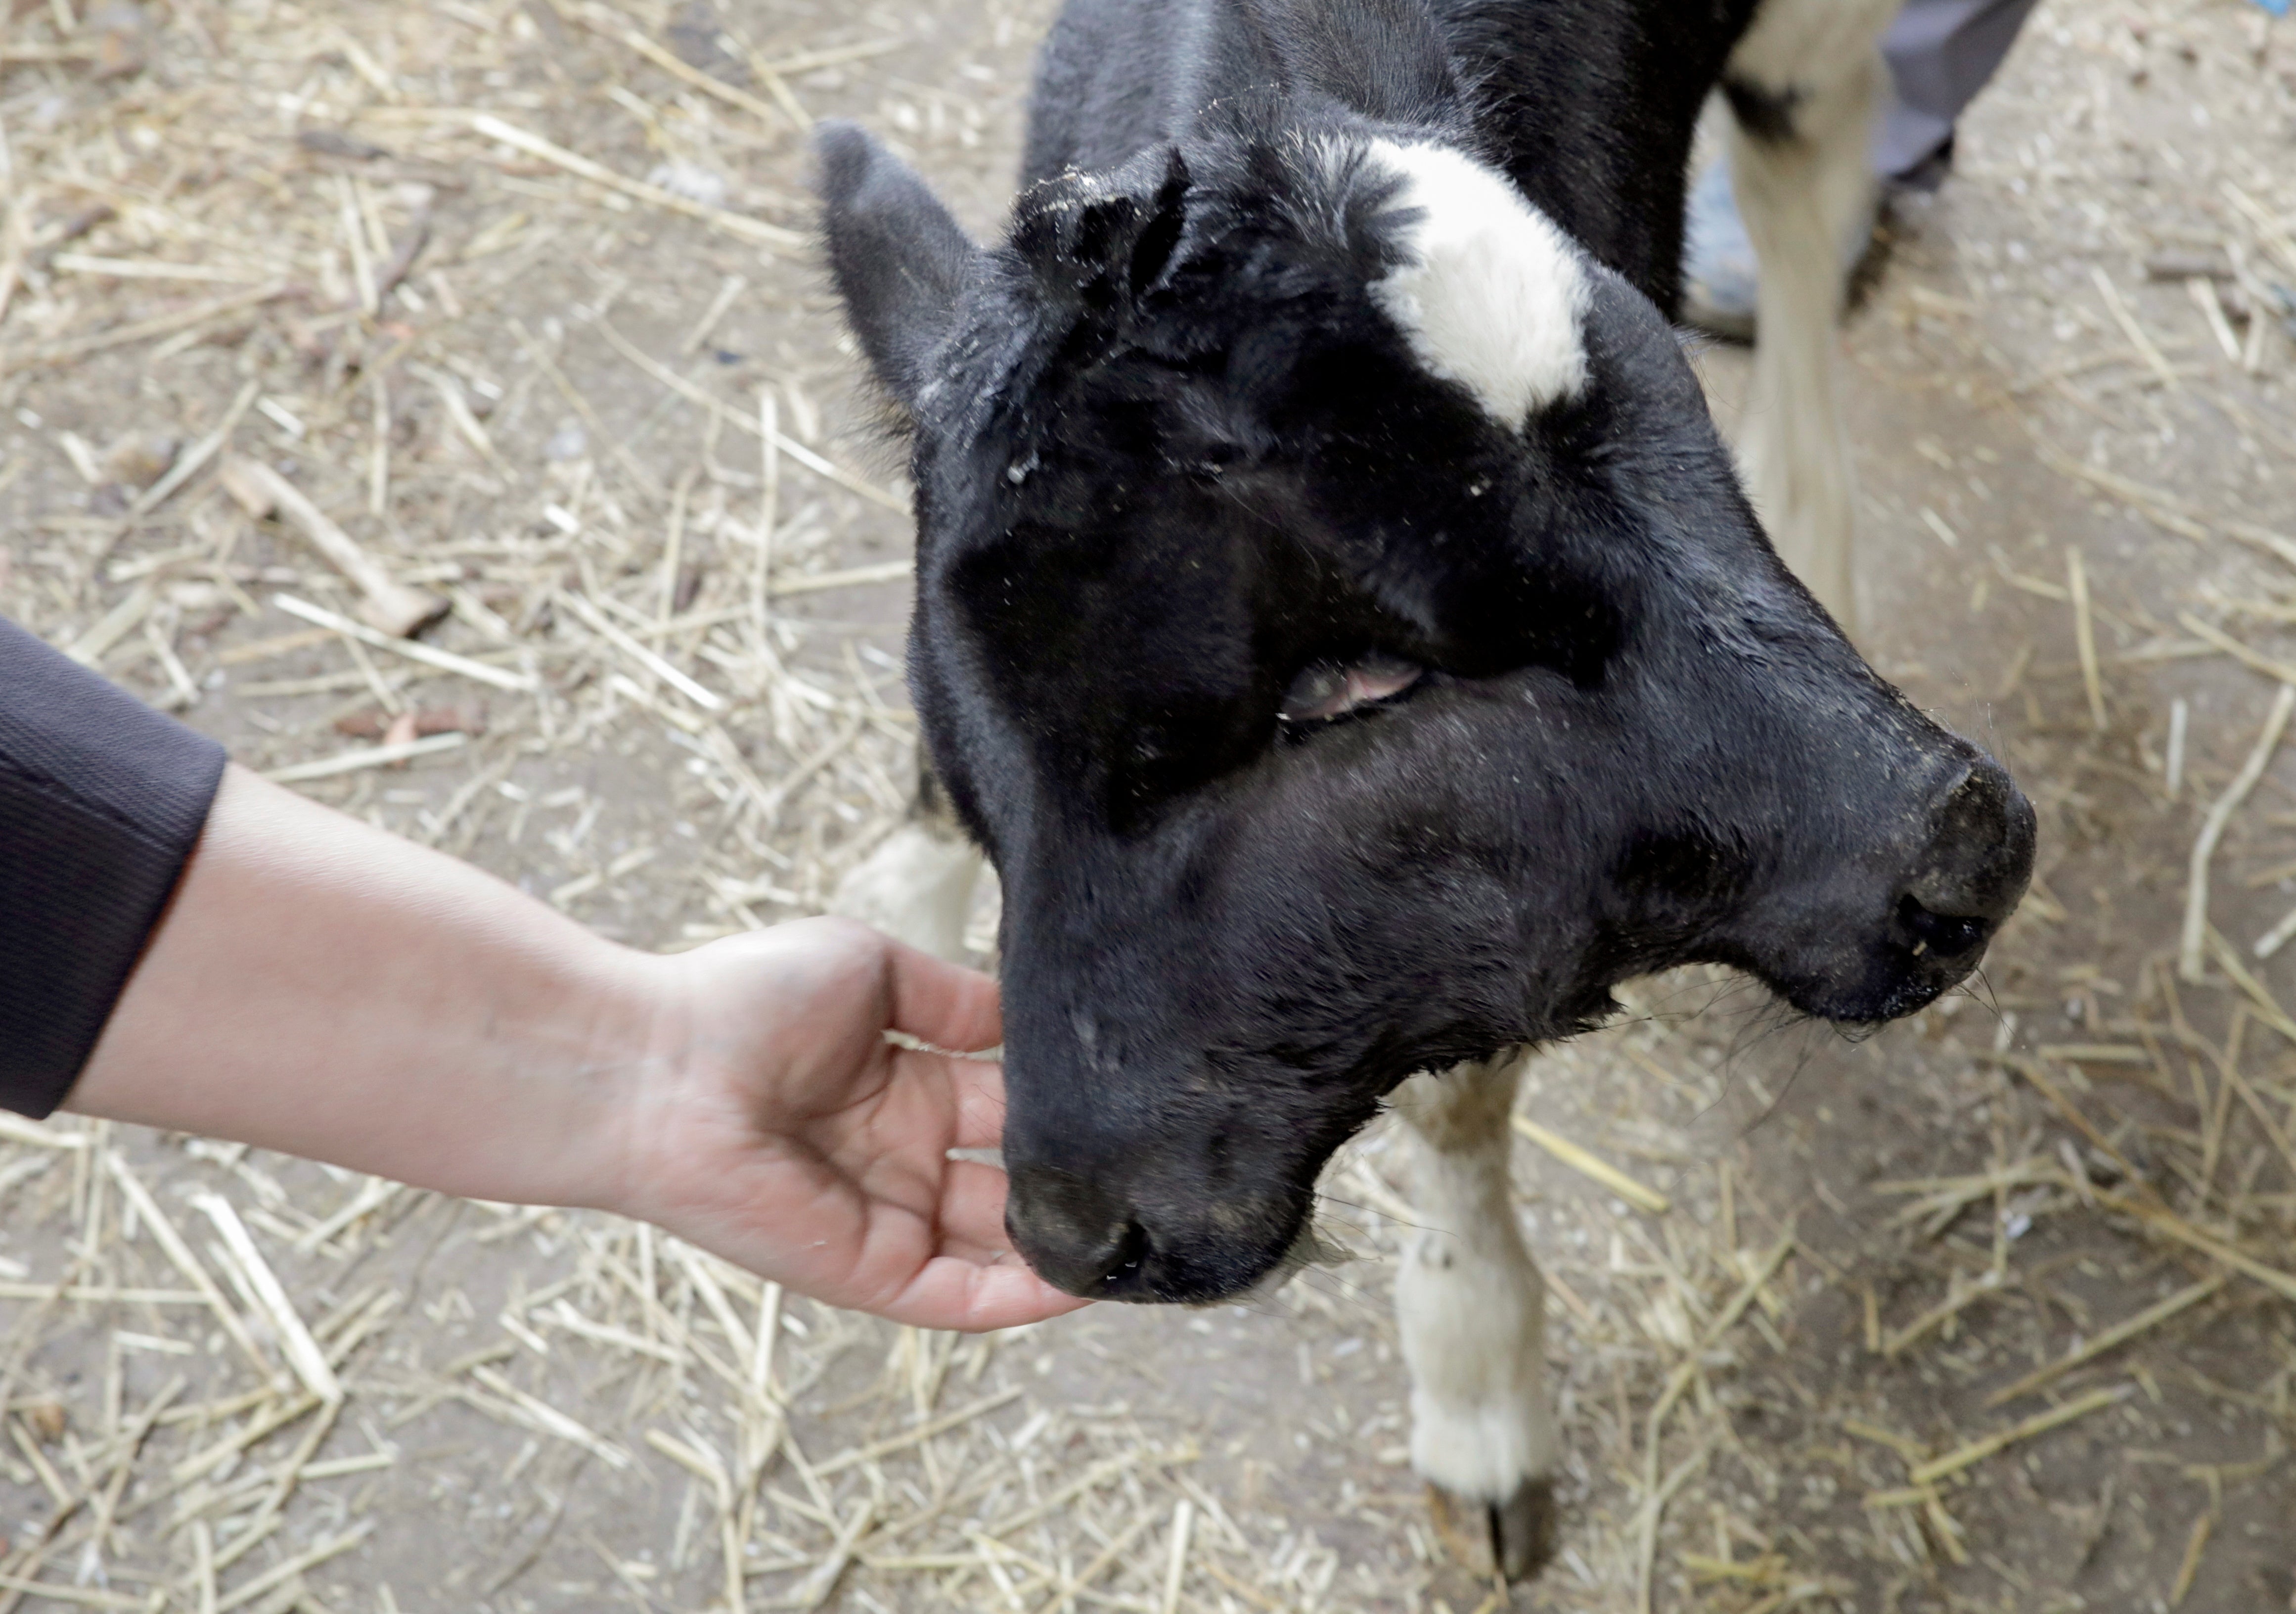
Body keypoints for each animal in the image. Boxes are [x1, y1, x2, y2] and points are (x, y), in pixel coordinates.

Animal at [812, 0, 2029, 1579]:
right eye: (1346, 676)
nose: (1968, 839)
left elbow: (1458, 1103)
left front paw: (1476, 1381)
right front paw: (892, 907)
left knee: (1806, 177)